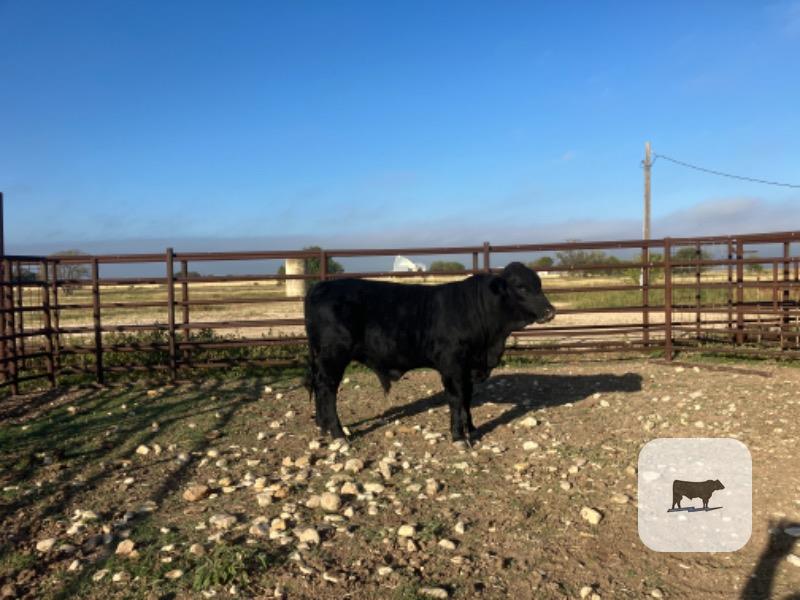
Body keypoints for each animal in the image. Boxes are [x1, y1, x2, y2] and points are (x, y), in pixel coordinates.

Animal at [303, 262, 556, 443]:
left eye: (540, 284)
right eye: (521, 287)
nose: (550, 311)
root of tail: (320, 286)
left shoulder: (469, 366)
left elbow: (467, 398)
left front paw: (472, 430)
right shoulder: (452, 365)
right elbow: (456, 398)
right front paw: (458, 436)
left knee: (318, 386)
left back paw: (323, 427)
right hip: (333, 355)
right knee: (327, 389)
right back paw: (338, 434)